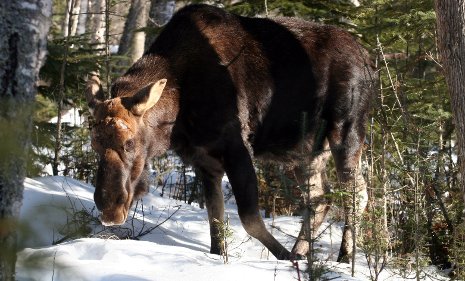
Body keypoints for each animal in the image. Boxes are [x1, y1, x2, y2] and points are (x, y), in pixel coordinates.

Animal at [84, 4, 374, 262]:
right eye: (94, 145)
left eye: (130, 143)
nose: (109, 210)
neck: (179, 113)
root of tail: (369, 61)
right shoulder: (204, 161)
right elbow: (215, 221)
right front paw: (219, 256)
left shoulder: (237, 148)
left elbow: (249, 219)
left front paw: (282, 257)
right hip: (305, 150)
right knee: (320, 199)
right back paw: (303, 252)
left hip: (346, 130)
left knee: (356, 194)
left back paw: (343, 257)